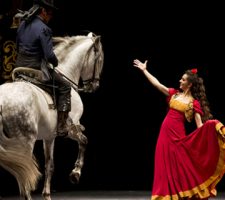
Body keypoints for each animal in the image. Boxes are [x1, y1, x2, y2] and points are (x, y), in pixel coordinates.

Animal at [0, 32, 104, 199]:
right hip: (25, 142)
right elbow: (84, 141)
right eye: (99, 60)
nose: (94, 86)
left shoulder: (49, 137)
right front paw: (75, 173)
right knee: (24, 173)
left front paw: (47, 194)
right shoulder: (71, 129)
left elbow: (49, 165)